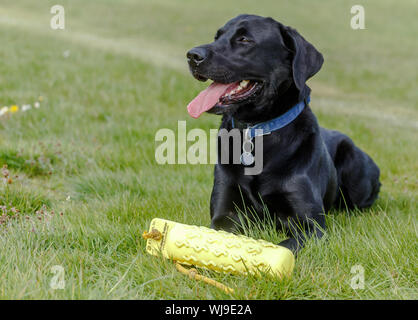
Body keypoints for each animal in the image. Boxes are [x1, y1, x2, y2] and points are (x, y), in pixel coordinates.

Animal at [185, 15, 380, 254]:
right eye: (217, 36)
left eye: (244, 39)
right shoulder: (225, 214)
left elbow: (285, 246)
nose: (192, 56)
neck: (257, 129)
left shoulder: (310, 226)